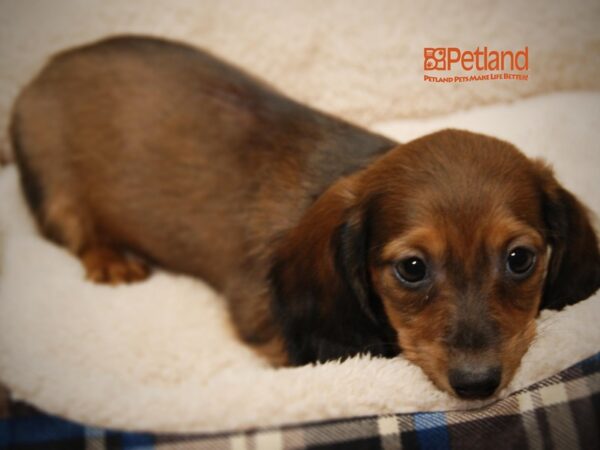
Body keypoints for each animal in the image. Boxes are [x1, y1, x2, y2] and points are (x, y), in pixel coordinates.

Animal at [10, 37, 600, 400]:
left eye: (520, 259)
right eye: (411, 268)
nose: (476, 385)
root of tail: (41, 73)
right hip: (54, 188)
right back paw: (110, 260)